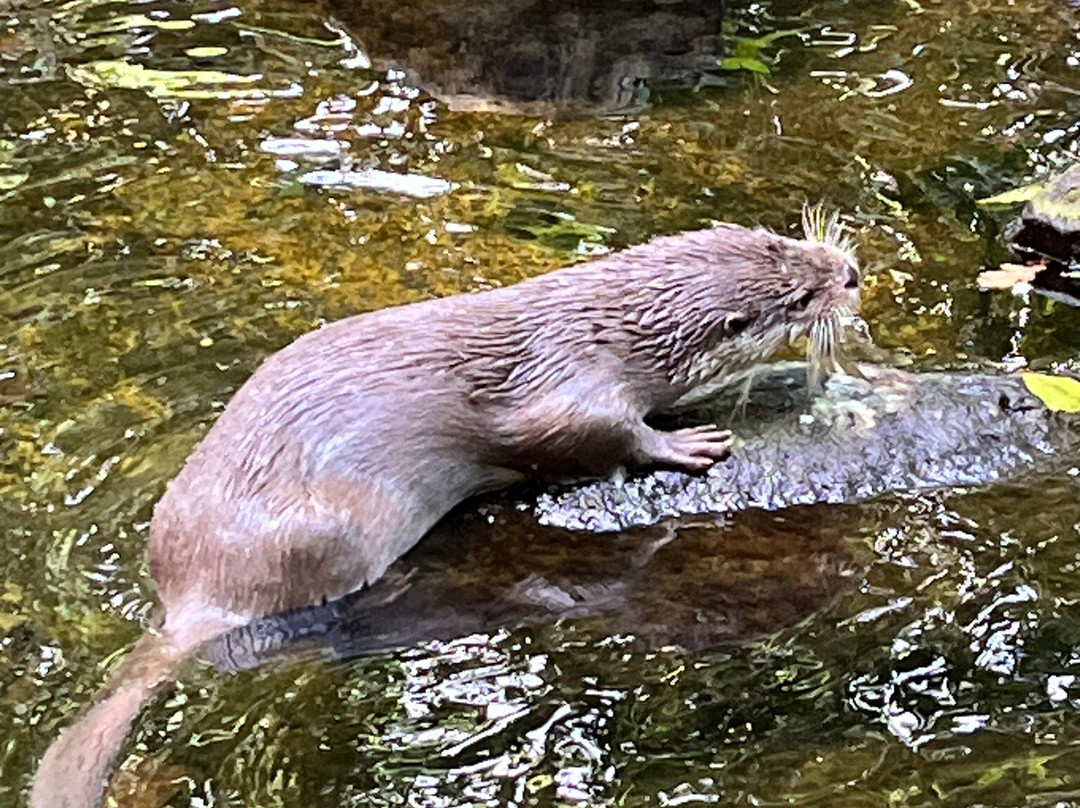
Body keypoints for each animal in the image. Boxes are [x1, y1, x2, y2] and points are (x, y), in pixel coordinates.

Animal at [30, 214, 859, 808]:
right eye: (796, 298)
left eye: (786, 241)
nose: (849, 272)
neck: (604, 329)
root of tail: (193, 588)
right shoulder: (568, 387)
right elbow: (591, 437)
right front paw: (683, 442)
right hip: (331, 533)